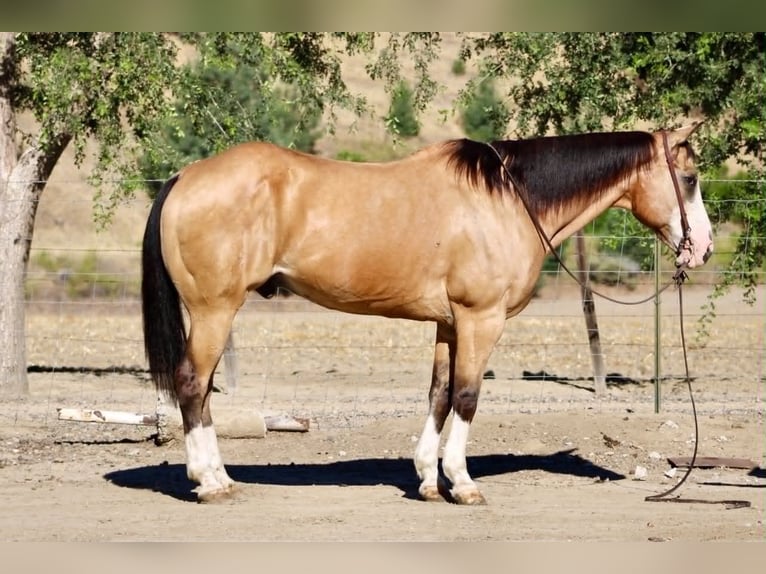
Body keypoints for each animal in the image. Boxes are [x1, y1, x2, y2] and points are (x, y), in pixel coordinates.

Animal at [141, 123, 713, 504]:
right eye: (689, 178)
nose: (703, 249)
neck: (508, 200)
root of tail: (185, 176)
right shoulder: (481, 320)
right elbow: (467, 396)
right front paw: (461, 482)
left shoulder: (449, 324)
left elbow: (439, 395)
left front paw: (427, 479)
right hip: (215, 311)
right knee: (192, 384)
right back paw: (209, 483)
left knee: (202, 390)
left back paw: (221, 477)